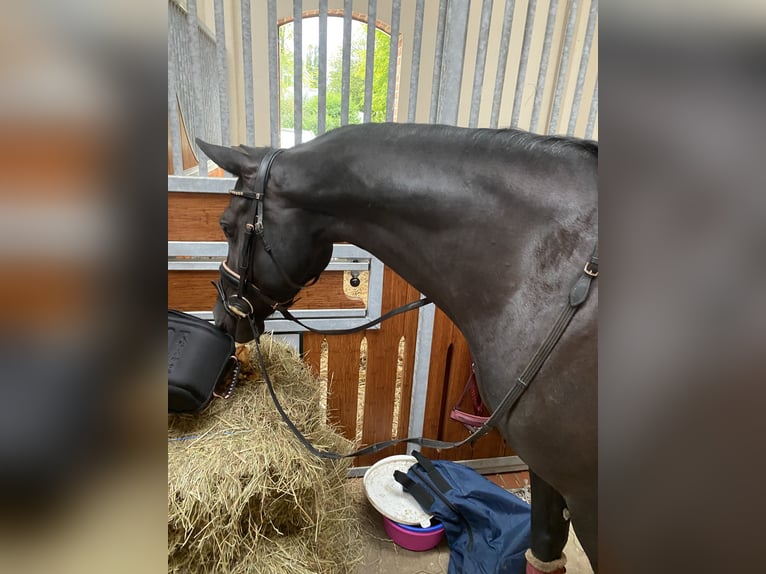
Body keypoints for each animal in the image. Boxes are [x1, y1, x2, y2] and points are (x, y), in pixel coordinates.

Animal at [198, 124, 600, 572]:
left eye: (226, 226)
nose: (221, 316)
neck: (547, 271)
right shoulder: (547, 472)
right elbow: (544, 549)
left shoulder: (588, 500)